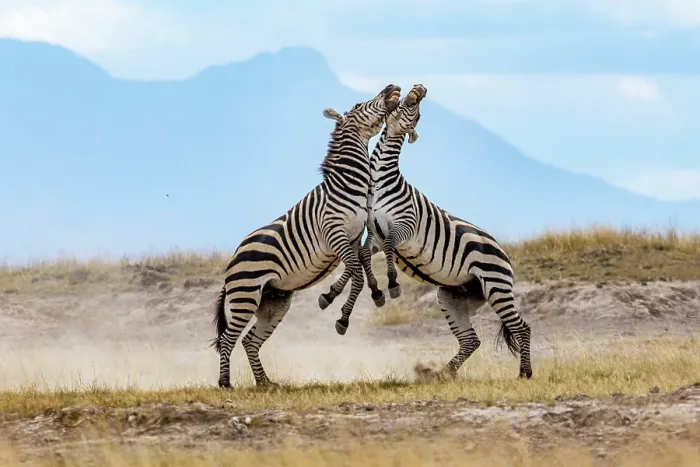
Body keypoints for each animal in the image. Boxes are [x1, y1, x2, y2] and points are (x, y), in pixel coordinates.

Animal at [210, 84, 402, 388]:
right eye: (358, 104)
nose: (391, 87)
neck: (349, 184)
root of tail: (231, 263)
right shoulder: (334, 232)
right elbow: (354, 272)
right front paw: (335, 302)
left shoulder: (353, 237)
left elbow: (357, 271)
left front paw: (345, 301)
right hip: (246, 294)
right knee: (228, 339)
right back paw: (225, 383)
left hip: (275, 300)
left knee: (250, 340)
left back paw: (265, 383)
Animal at [320, 84, 533, 380]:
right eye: (408, 104)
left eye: (417, 115)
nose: (419, 88)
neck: (378, 179)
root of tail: (503, 251)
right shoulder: (374, 234)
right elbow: (363, 254)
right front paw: (371, 291)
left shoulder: (404, 225)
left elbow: (389, 248)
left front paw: (393, 284)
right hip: (453, 296)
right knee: (471, 340)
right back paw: (442, 373)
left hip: (496, 286)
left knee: (521, 327)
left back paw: (525, 373)